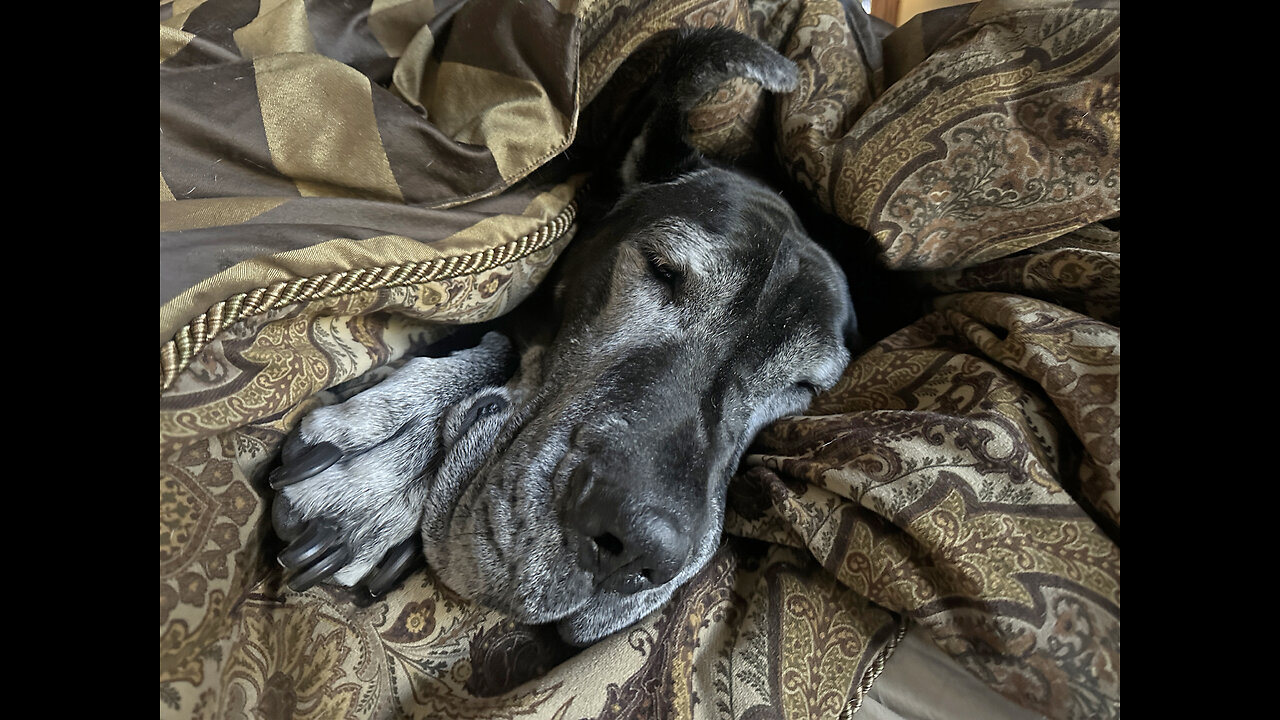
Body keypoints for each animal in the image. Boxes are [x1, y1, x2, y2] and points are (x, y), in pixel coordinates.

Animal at [267, 29, 860, 645]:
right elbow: (505, 343)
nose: (638, 547)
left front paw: (383, 480)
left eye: (802, 387)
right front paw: (387, 462)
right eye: (661, 269)